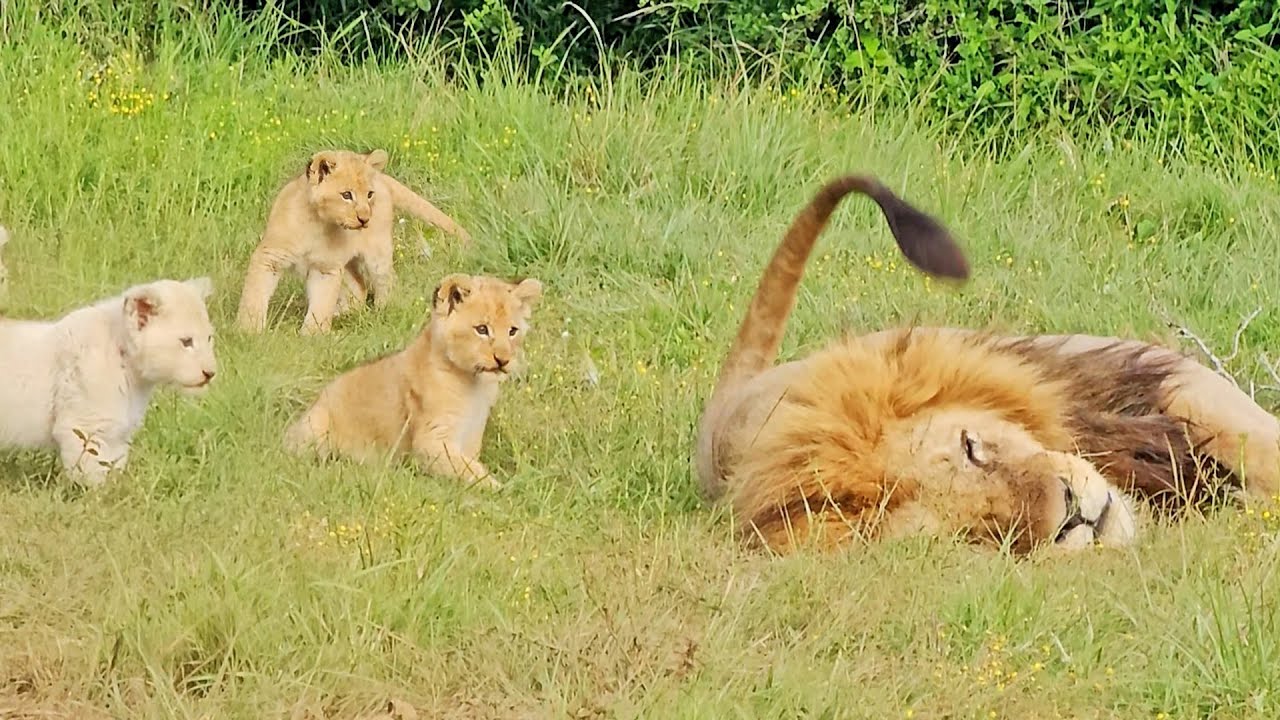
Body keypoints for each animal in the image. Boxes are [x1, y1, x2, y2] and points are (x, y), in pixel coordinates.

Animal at [0, 277, 218, 486]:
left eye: (209, 338)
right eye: (187, 342)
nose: (210, 373)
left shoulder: (117, 435)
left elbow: (114, 467)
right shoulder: (85, 427)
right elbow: (92, 475)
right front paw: (97, 496)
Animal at [235, 148, 471, 335]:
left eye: (369, 194)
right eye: (346, 195)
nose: (364, 219)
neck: (318, 224)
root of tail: (382, 177)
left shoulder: (326, 267)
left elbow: (322, 302)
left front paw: (313, 334)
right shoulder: (270, 256)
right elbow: (254, 295)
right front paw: (248, 331)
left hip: (377, 253)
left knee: (386, 281)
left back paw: (380, 311)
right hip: (347, 263)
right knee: (359, 286)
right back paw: (342, 314)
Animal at [283, 273, 543, 489]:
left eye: (512, 331)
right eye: (481, 329)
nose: (503, 360)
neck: (475, 385)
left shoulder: (470, 436)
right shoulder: (430, 441)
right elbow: (470, 471)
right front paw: (505, 490)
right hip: (316, 427)